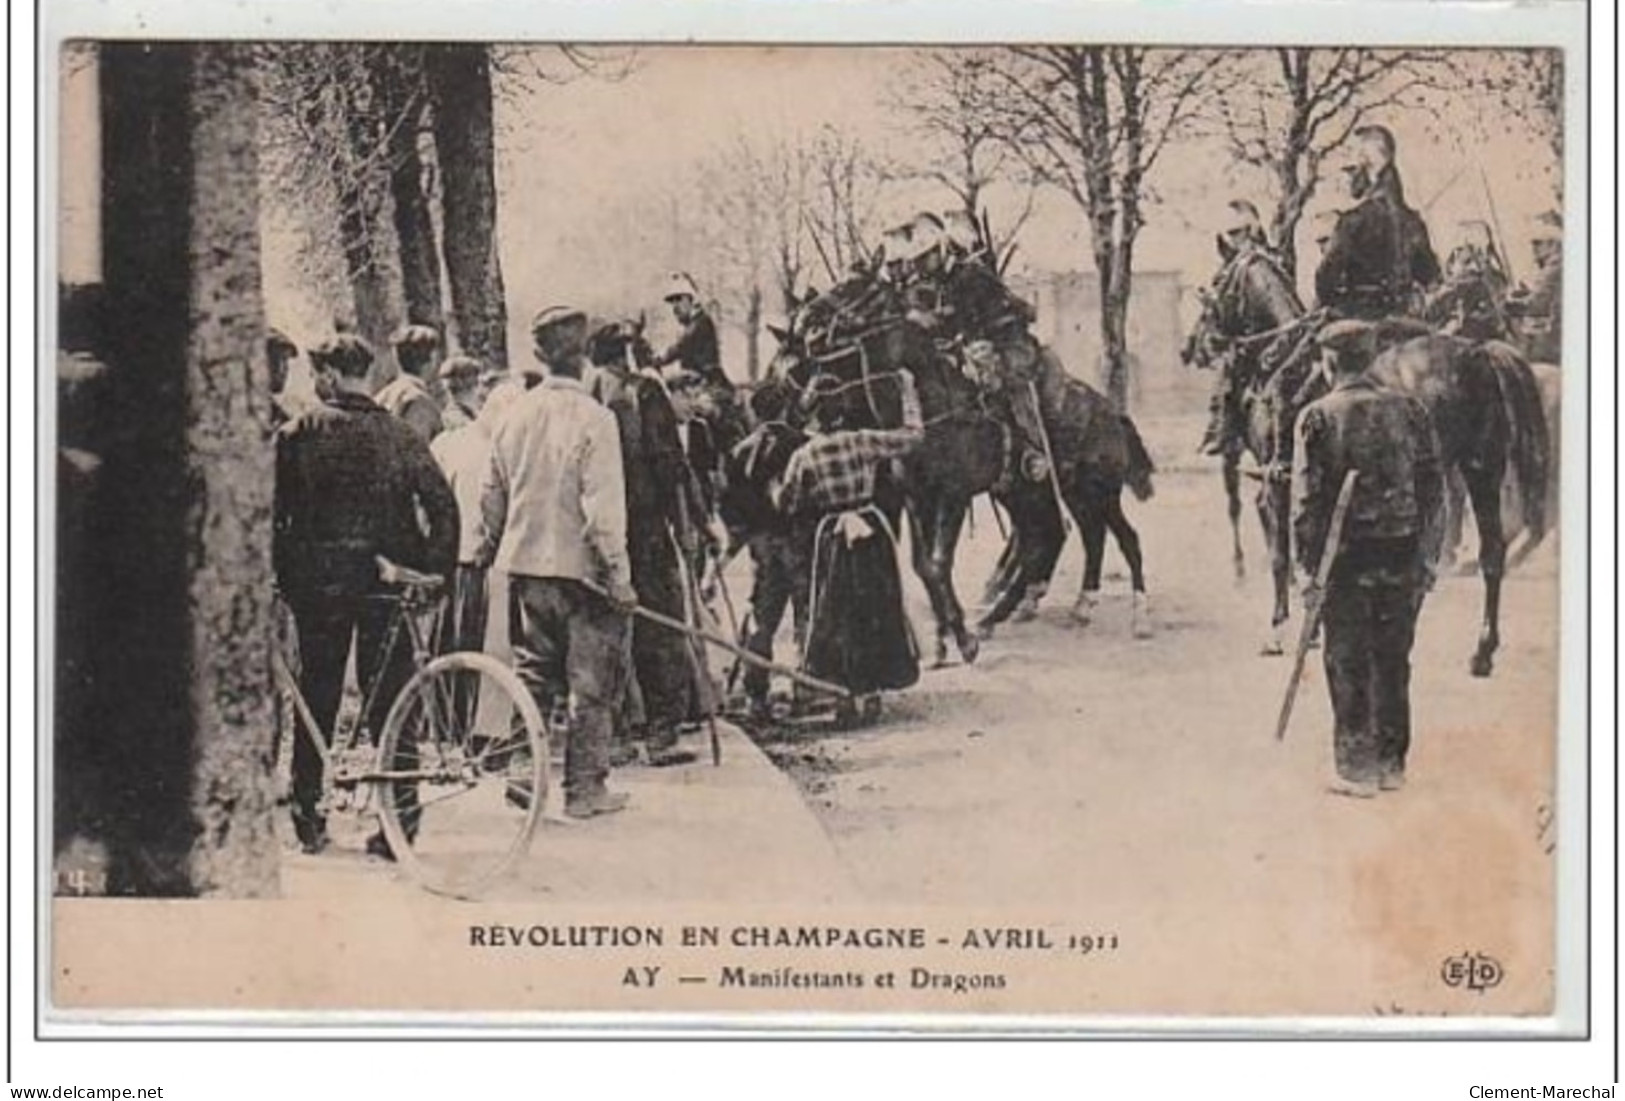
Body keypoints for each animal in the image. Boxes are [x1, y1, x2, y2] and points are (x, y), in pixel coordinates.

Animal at [1189, 264, 1553, 682]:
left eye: (1220, 281)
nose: (1199, 345)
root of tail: (1478, 353)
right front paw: (1313, 625)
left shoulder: (1278, 488)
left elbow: (1282, 556)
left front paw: (1281, 629)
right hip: (1481, 468)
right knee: (1490, 554)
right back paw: (1482, 651)